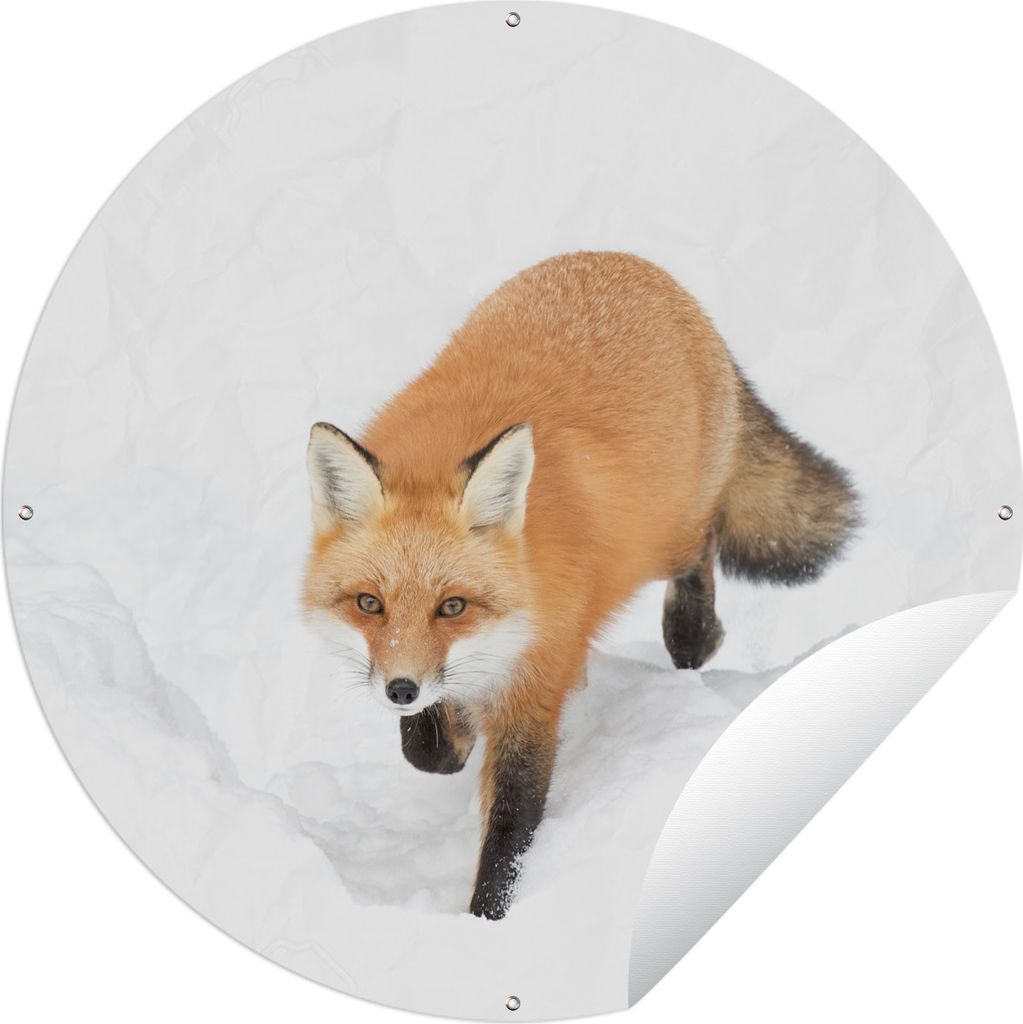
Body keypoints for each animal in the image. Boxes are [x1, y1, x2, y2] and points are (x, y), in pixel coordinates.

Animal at [303, 251, 859, 920]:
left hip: (666, 534)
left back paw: (696, 635)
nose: (401, 690)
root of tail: (633, 264)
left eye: (452, 606)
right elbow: (430, 750)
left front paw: (487, 923)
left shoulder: (537, 690)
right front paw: (452, 732)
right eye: (370, 604)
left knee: (703, 549)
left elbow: (511, 828)